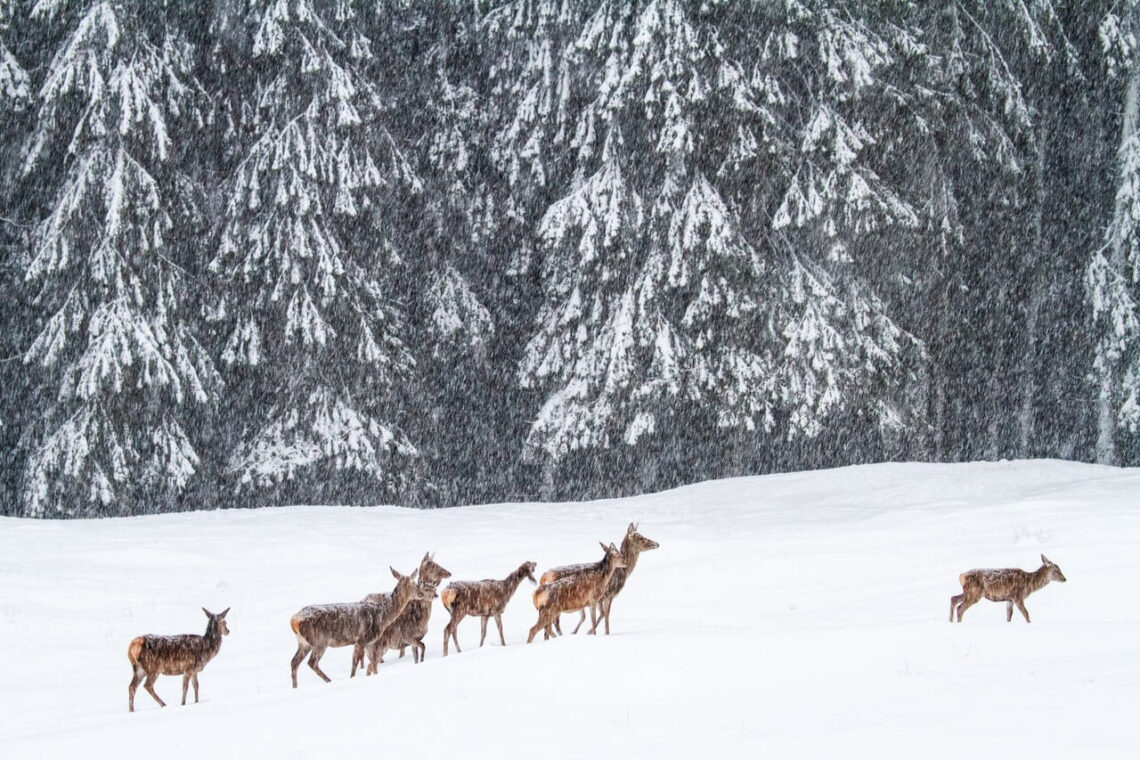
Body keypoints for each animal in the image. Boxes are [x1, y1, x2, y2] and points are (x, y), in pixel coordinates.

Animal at [287, 565, 428, 688]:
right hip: (319, 641)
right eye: (414, 584)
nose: (421, 593)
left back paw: (295, 687)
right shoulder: (362, 638)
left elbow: (373, 663)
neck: (382, 615)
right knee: (311, 663)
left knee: (294, 662)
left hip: (304, 643)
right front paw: (353, 678)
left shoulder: (369, 642)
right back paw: (329, 681)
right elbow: (356, 664)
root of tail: (294, 620)